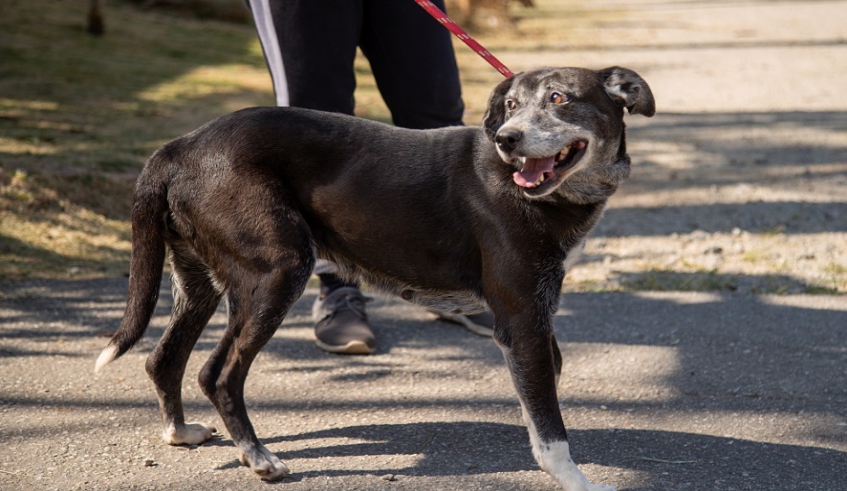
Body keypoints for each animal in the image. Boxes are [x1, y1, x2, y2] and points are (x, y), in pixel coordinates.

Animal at [97, 66, 656, 491]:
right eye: (512, 104)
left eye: (559, 98)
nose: (506, 139)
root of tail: (178, 147)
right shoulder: (522, 320)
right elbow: (552, 427)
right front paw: (577, 481)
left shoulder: (534, 317)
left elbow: (544, 391)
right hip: (278, 271)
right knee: (218, 374)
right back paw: (259, 459)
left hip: (199, 282)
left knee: (162, 358)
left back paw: (180, 432)